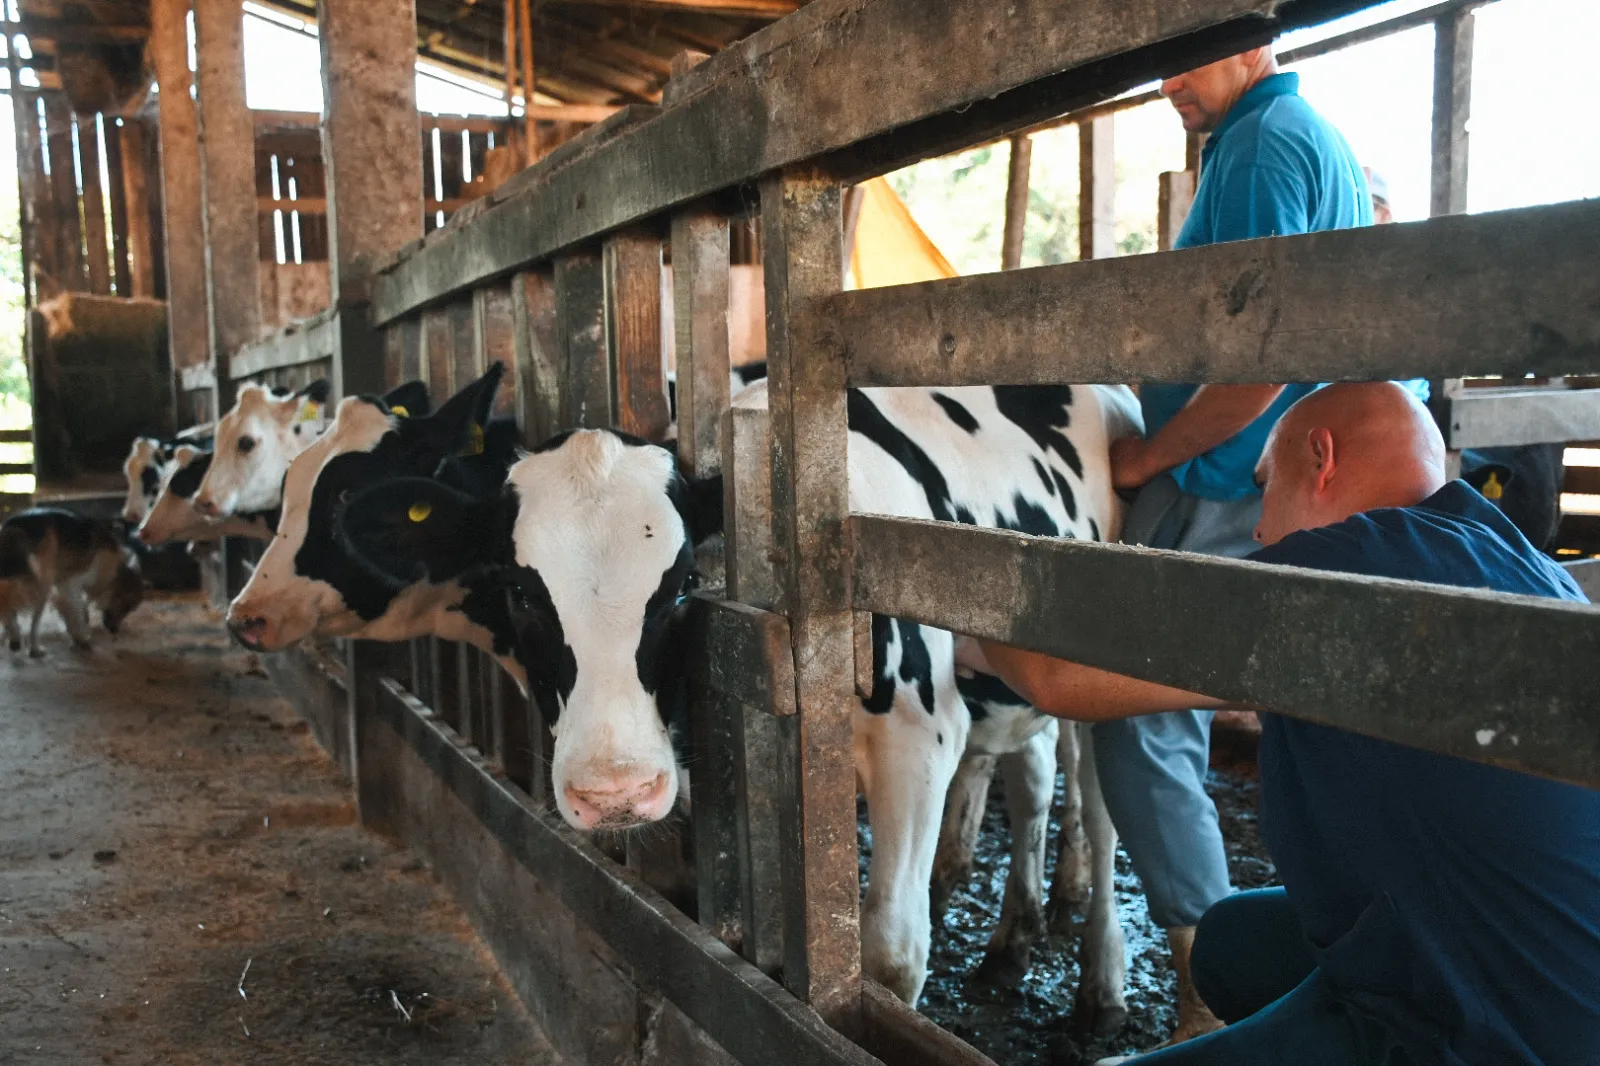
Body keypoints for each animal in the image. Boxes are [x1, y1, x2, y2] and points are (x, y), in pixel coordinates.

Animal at [0, 508, 145, 656]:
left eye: (131, 609)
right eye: (127, 606)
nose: (115, 631)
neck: (113, 568)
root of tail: (15, 525)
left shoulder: (62, 587)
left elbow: (72, 609)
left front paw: (76, 636)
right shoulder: (71, 584)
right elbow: (78, 611)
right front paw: (83, 637)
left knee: (7, 605)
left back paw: (14, 637)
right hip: (43, 585)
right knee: (32, 621)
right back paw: (34, 648)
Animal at [334, 377, 1139, 1017]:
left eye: (684, 584)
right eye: (520, 594)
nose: (614, 791)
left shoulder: (920, 734)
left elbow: (891, 954)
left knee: (1101, 809)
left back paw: (1101, 979)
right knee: (1032, 773)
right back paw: (1010, 939)